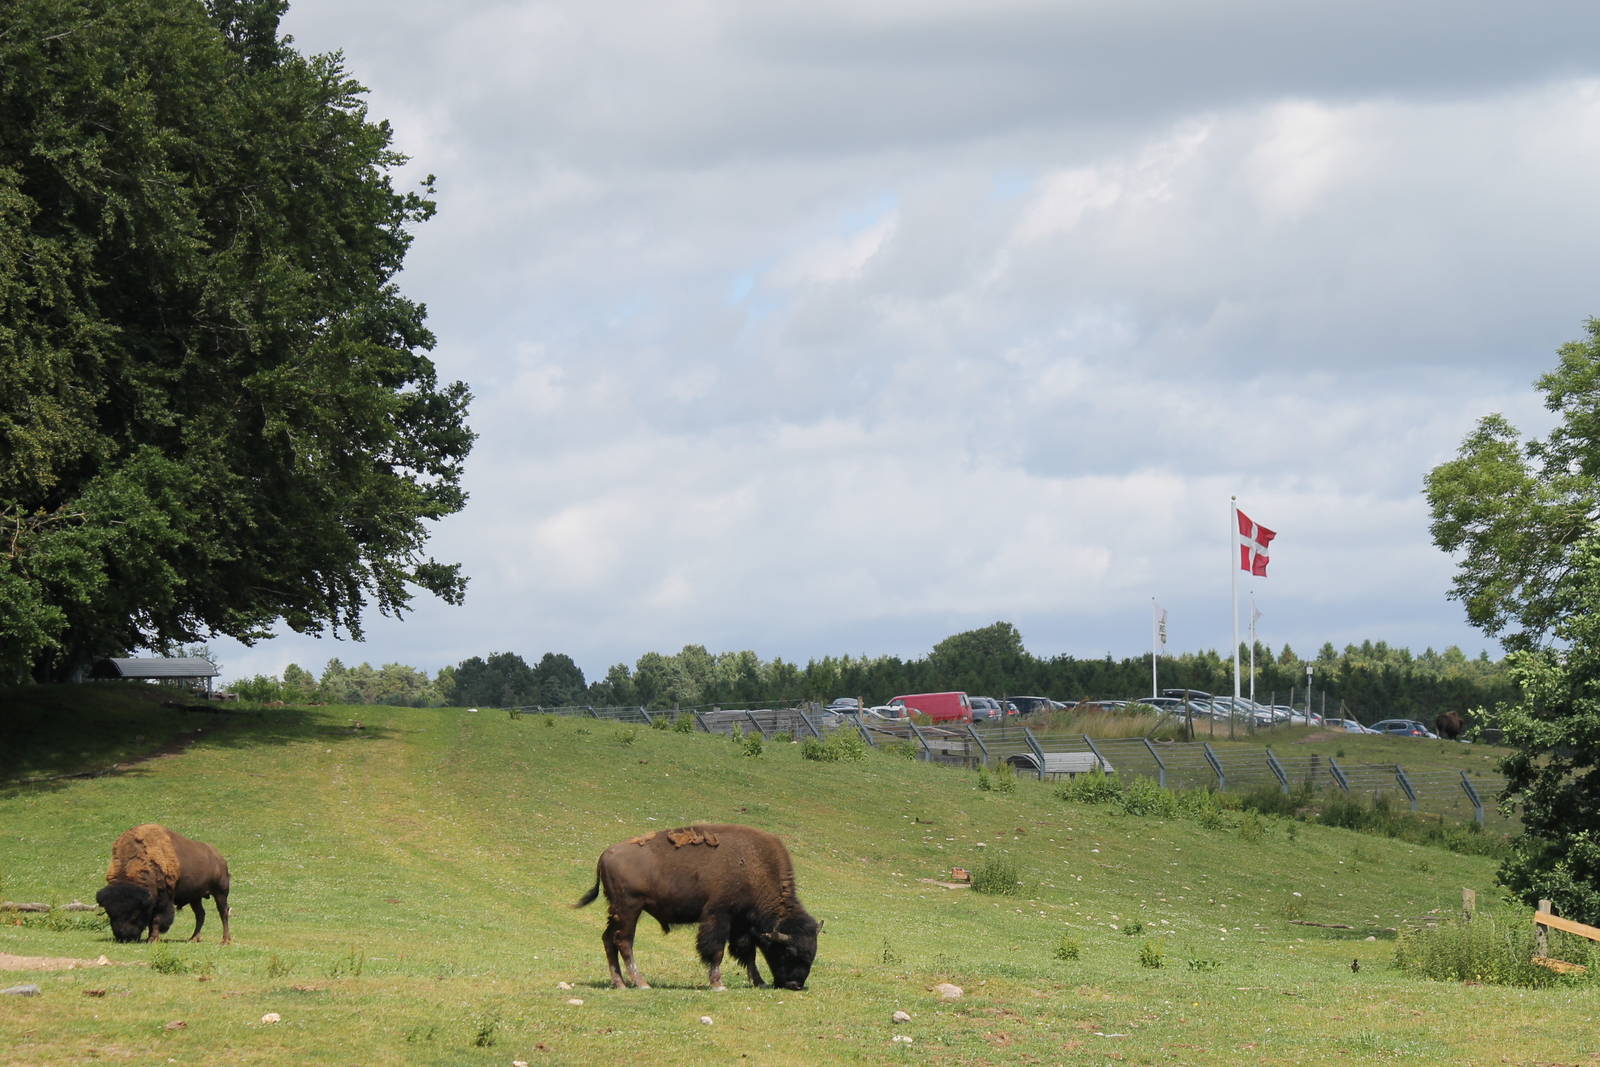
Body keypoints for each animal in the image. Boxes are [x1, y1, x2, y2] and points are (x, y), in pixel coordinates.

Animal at [96, 824, 232, 944]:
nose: (124, 937)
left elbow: (157, 919)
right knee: (200, 914)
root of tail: (220, 859)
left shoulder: (163, 899)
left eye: (135, 913)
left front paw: (153, 939)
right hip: (195, 898)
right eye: (110, 914)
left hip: (220, 892)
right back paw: (193, 938)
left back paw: (225, 941)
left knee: (223, 913)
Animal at [576, 823, 819, 990]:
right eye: (788, 951)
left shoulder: (742, 924)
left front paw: (760, 982)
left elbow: (747, 953)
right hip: (629, 909)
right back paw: (642, 983)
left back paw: (620, 983)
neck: (753, 867)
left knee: (608, 939)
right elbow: (717, 950)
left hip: (617, 912)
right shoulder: (719, 916)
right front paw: (718, 984)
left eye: (813, 952)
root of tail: (605, 854)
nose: (795, 984)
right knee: (624, 942)